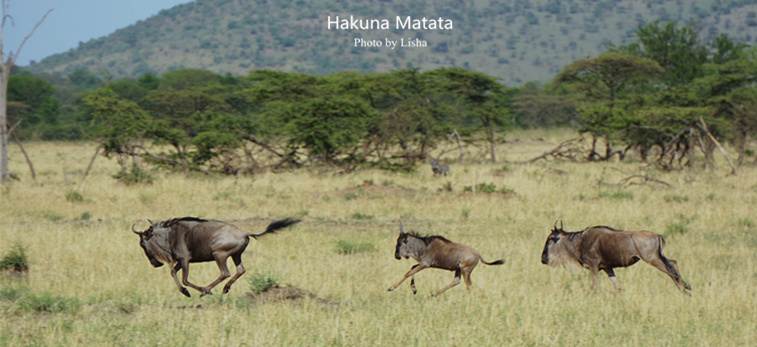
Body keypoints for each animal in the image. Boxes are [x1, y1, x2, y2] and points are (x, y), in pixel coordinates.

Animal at [133, 218, 298, 296]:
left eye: (142, 244)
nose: (154, 264)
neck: (171, 236)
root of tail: (244, 233)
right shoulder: (181, 261)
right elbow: (173, 272)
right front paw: (185, 292)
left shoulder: (185, 260)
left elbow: (185, 279)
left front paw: (200, 290)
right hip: (236, 255)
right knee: (241, 270)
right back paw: (225, 288)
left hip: (219, 254)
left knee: (225, 272)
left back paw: (207, 290)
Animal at [536, 223, 692, 294]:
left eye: (550, 239)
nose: (543, 259)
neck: (580, 242)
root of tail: (657, 235)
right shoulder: (608, 268)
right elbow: (618, 287)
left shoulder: (593, 267)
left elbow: (595, 286)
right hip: (657, 257)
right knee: (673, 262)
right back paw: (686, 287)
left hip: (652, 258)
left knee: (669, 269)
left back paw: (683, 289)